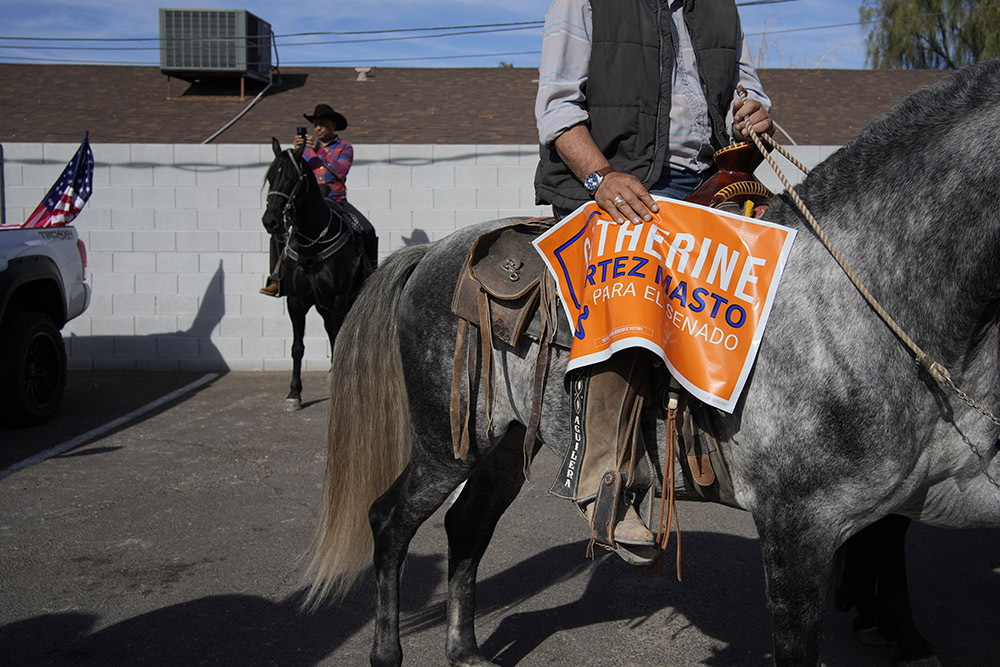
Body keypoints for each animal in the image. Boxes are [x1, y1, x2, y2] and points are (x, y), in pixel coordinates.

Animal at [262, 140, 376, 412]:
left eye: (293, 178)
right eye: (270, 177)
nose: (270, 221)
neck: (312, 244)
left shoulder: (338, 298)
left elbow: (339, 335)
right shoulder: (296, 301)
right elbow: (297, 347)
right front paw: (294, 394)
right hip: (322, 306)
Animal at [302, 60, 1000, 664]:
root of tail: (434, 254)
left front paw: (901, 633)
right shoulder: (798, 529)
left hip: (506, 442)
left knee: (466, 529)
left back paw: (466, 650)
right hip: (447, 442)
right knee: (390, 522)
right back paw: (388, 652)